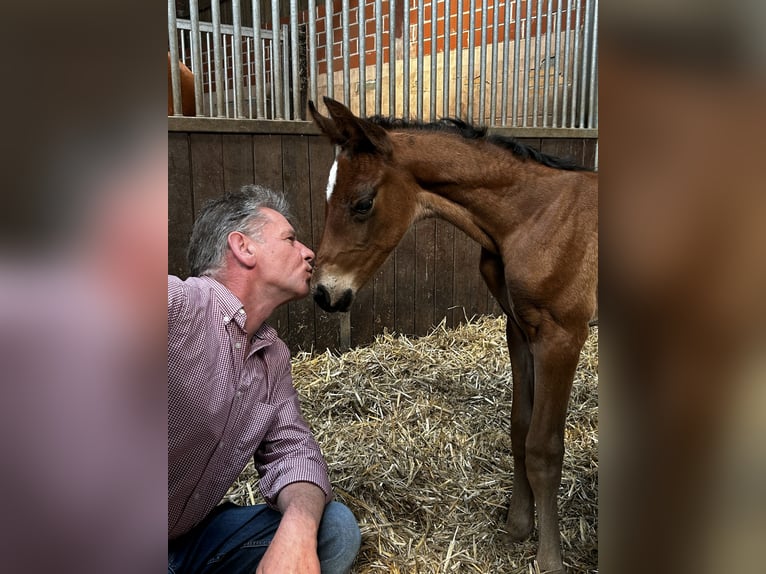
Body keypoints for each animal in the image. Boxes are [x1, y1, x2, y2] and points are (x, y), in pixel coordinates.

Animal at [308, 97, 596, 572]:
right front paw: (518, 525)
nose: (324, 293)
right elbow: (520, 429)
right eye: (327, 198)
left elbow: (544, 447)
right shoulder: (520, 329)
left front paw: (550, 559)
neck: (532, 217)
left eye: (363, 203)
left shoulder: (562, 336)